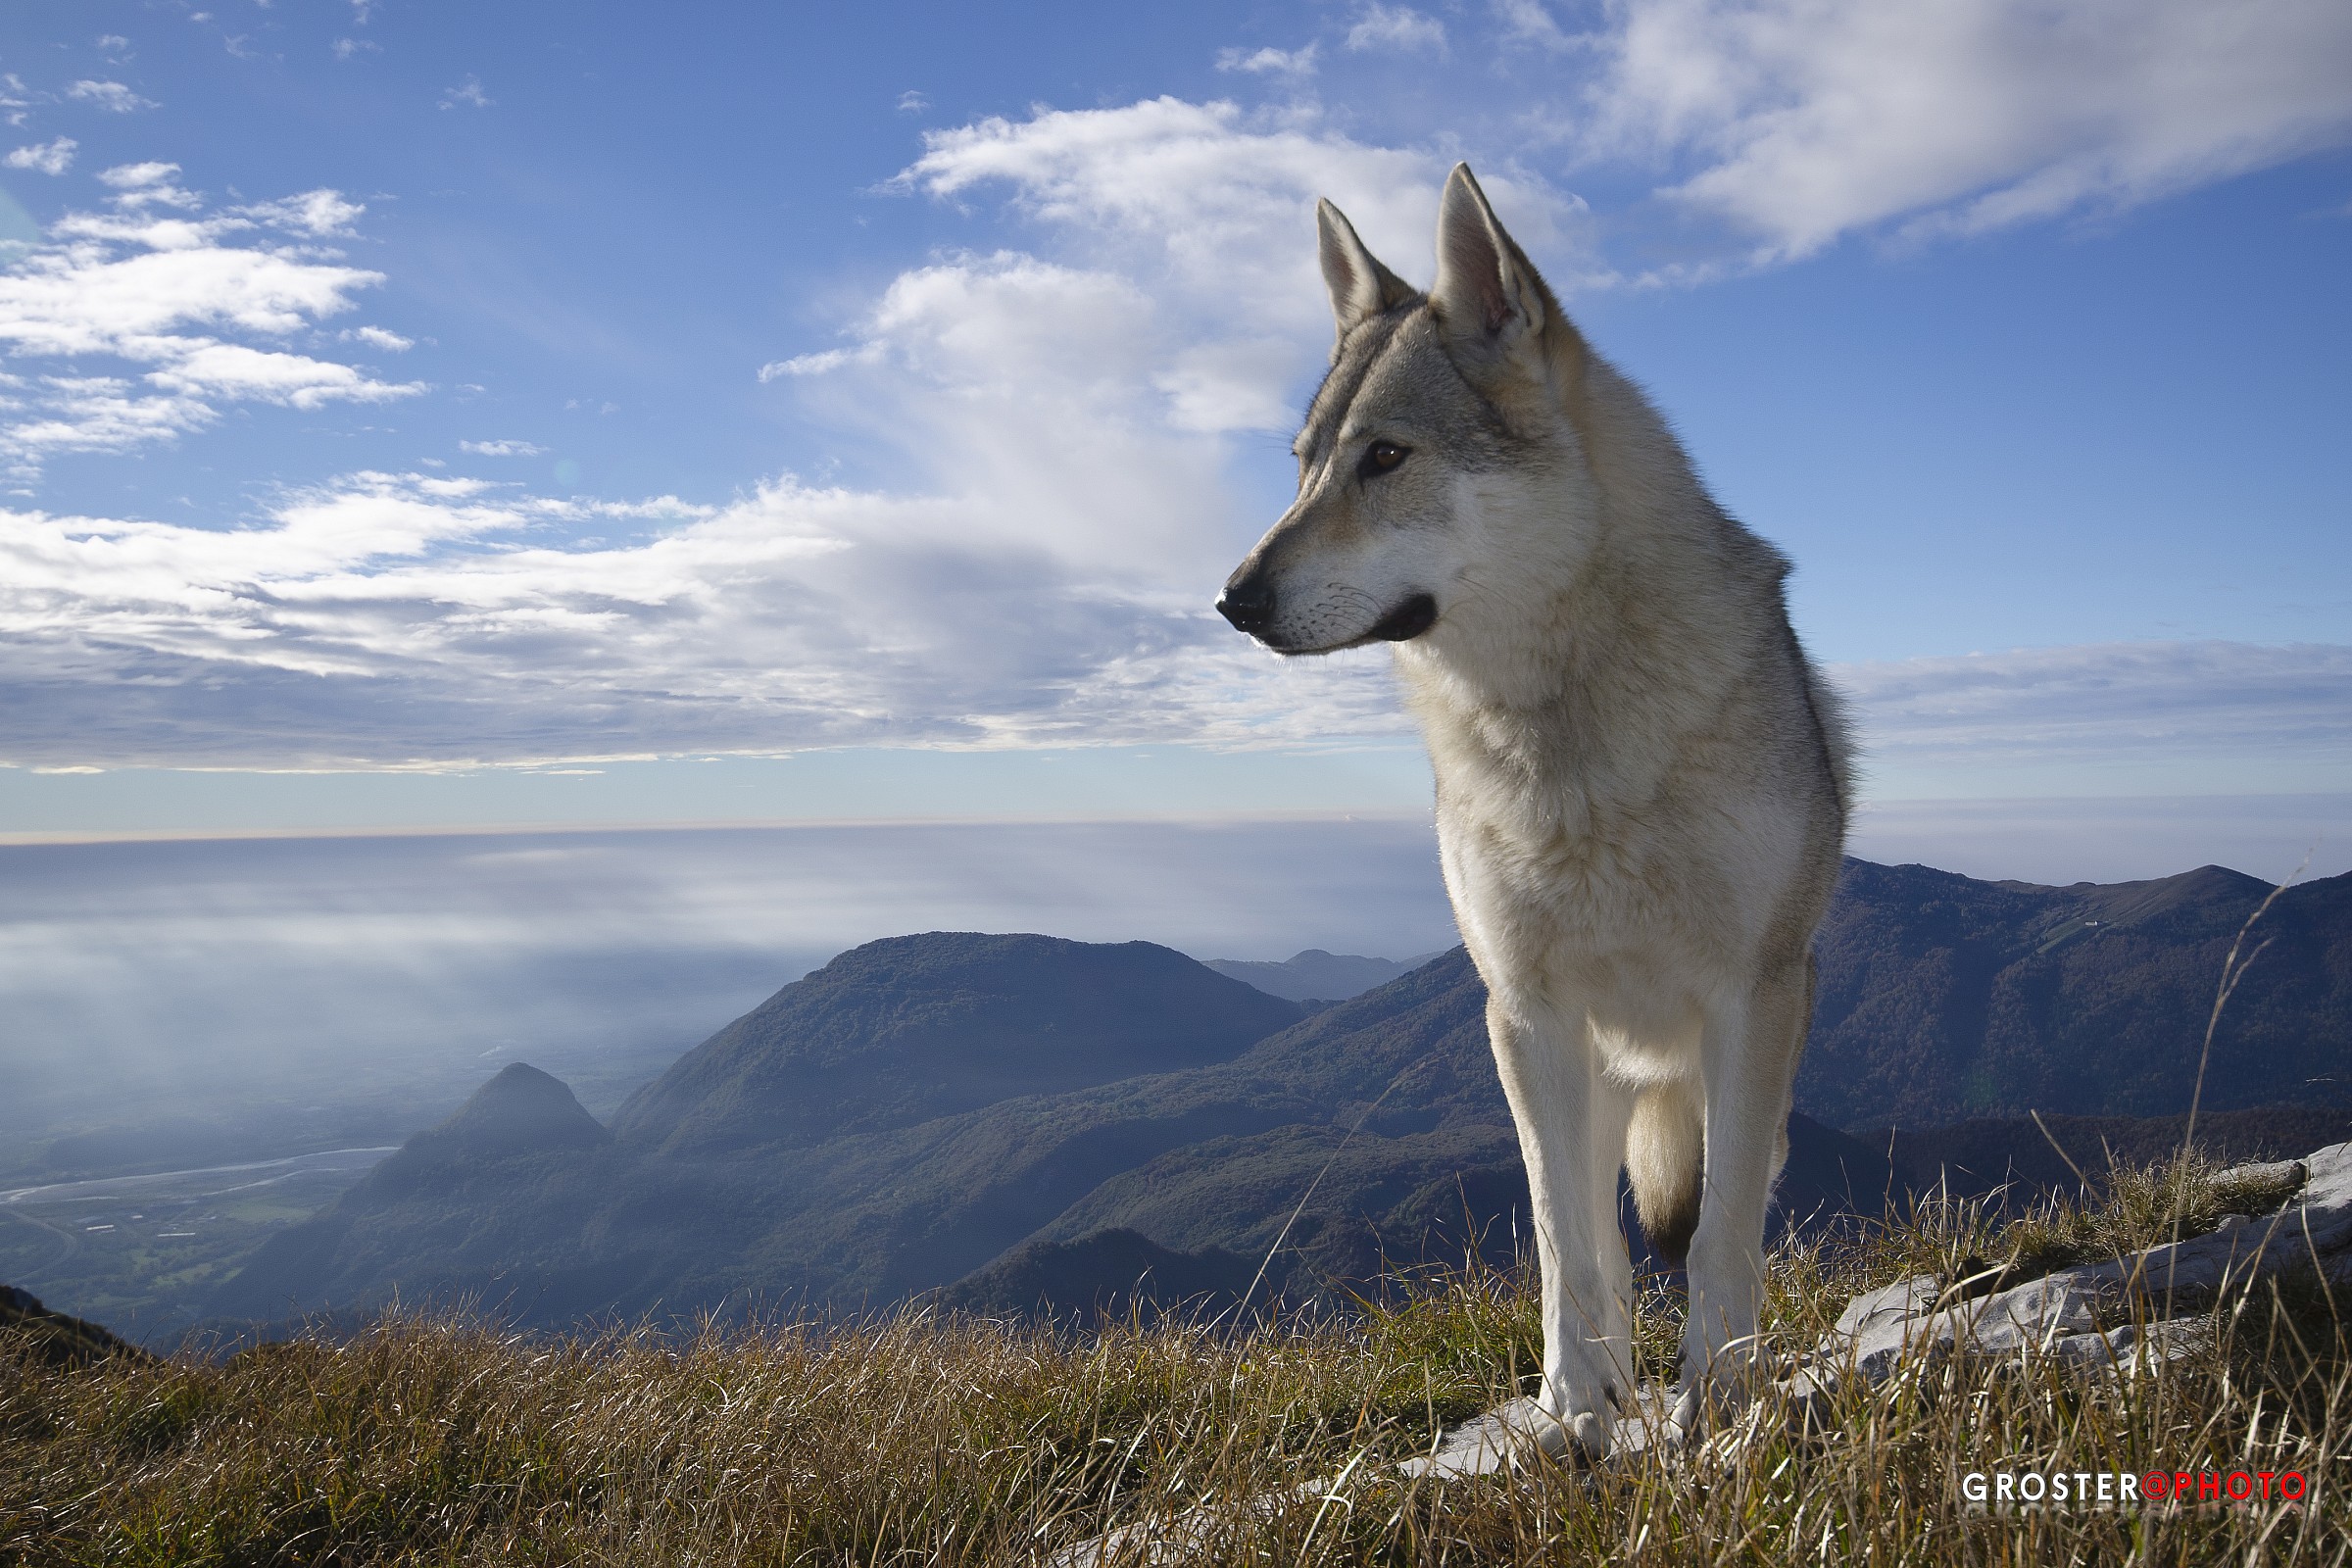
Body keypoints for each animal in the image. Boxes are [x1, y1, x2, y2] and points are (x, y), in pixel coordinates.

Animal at [1217, 165, 1853, 1458]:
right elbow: (1567, 1240)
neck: (1566, 737)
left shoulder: (1754, 995)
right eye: (1302, 462)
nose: (1233, 597)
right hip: (1594, 1067)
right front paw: (1573, 1415)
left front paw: (1724, 1406)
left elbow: (1720, 1235)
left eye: (1386, 456)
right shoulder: (1523, 1013)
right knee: (1603, 1235)